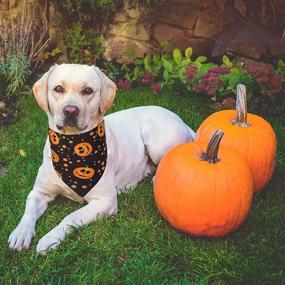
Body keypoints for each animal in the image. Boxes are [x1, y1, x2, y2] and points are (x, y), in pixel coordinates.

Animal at [8, 64, 195, 253]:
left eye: (88, 90)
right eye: (58, 89)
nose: (70, 111)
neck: (72, 147)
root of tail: (179, 118)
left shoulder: (105, 201)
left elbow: (71, 216)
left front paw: (51, 238)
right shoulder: (39, 192)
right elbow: (28, 211)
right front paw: (20, 233)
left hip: (154, 138)